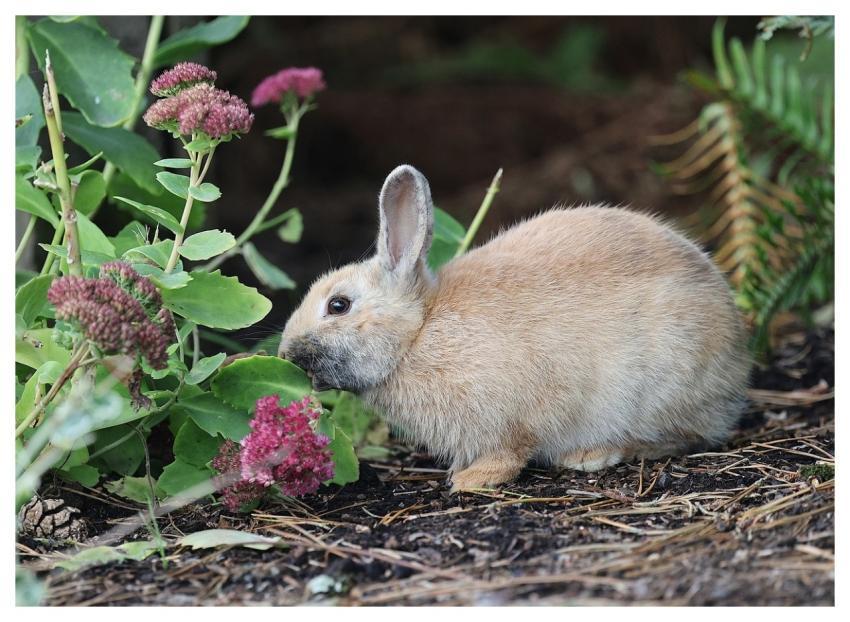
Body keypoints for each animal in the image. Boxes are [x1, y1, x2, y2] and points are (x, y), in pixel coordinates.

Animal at [279, 165, 751, 491]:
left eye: (338, 305)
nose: (285, 354)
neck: (418, 332)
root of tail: (736, 362)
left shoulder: (514, 415)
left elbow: (510, 451)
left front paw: (471, 480)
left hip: (664, 383)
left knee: (686, 438)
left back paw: (594, 454)